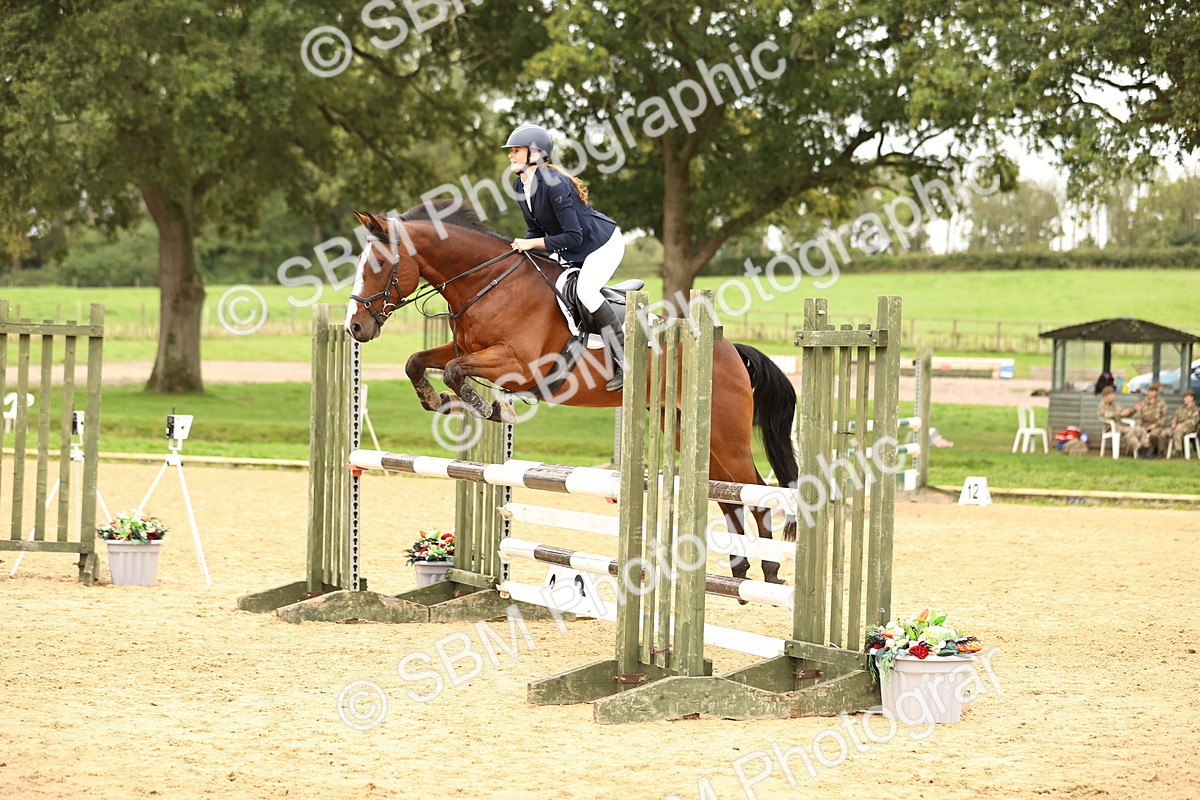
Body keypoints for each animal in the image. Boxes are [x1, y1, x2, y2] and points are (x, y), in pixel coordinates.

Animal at [345, 205, 798, 583]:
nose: (355, 328)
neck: (488, 283)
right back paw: (737, 572)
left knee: (756, 493)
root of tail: (730, 348)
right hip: (689, 431)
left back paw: (770, 571)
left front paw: (488, 407)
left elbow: (456, 372)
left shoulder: (518, 364)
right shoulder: (466, 349)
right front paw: (437, 399)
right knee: (727, 498)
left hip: (726, 434)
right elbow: (417, 362)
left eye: (379, 265)